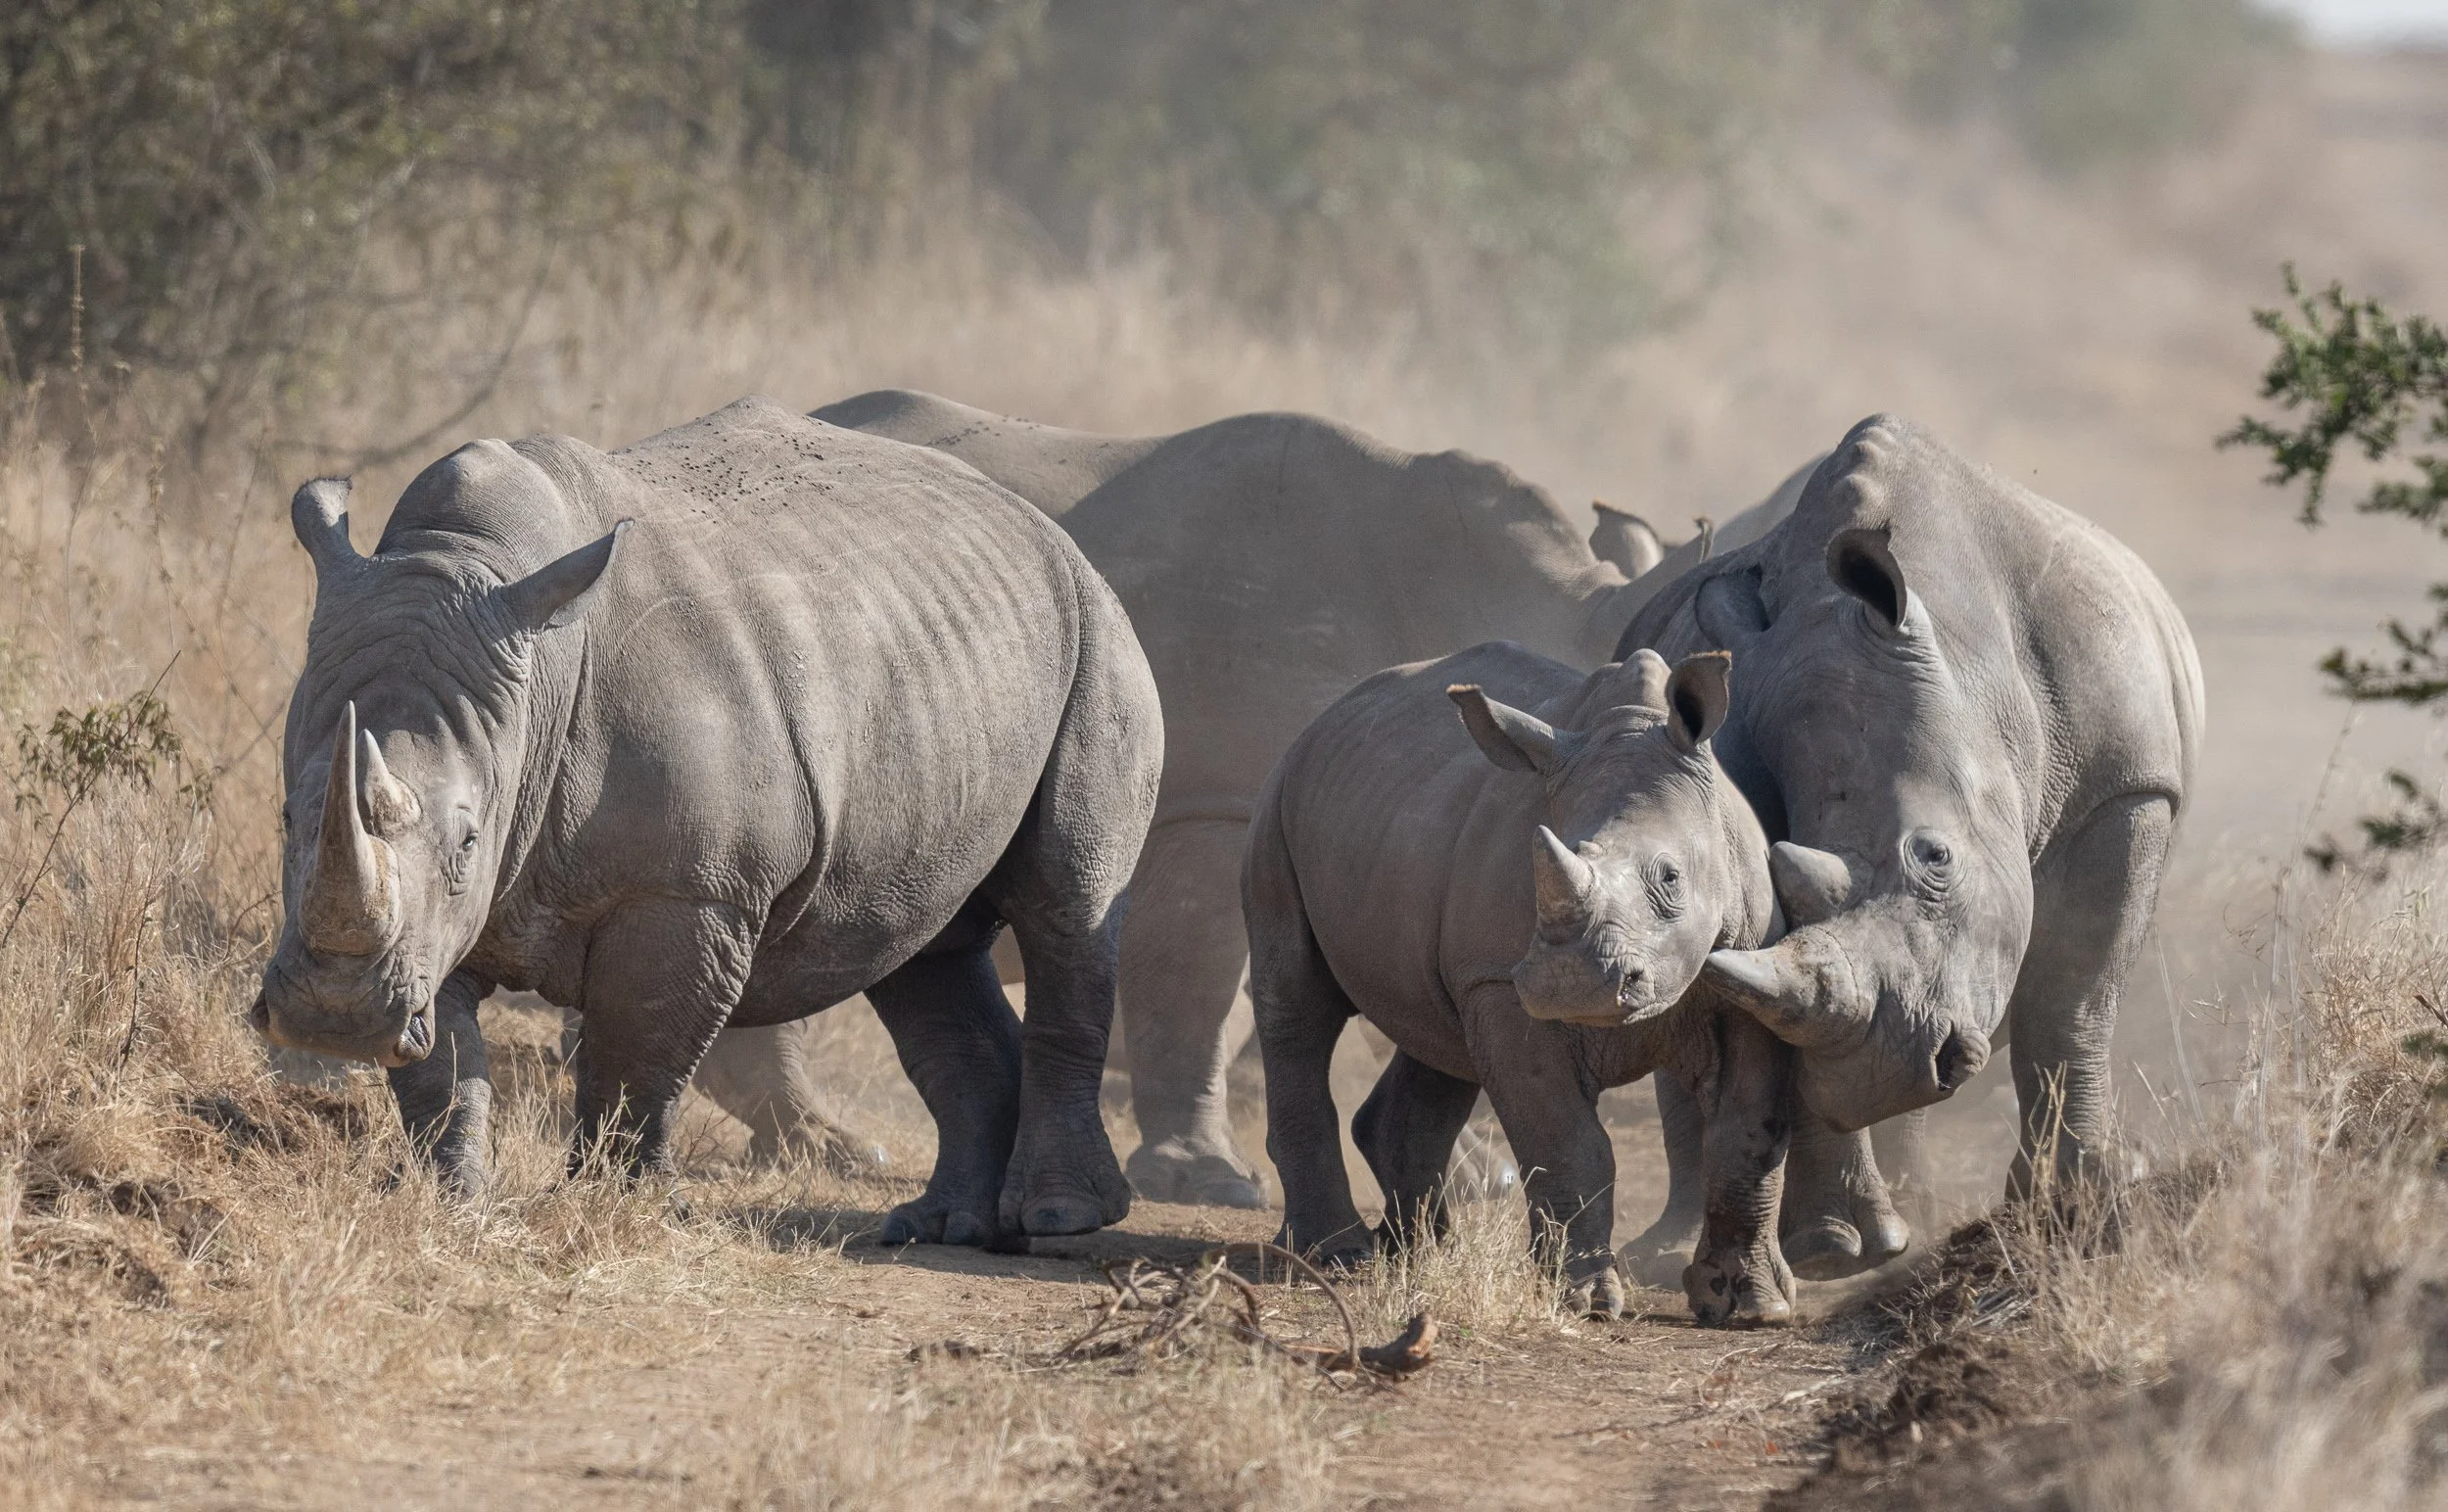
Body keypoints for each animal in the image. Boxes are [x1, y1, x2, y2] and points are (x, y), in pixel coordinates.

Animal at [249, 397, 1161, 1245]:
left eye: (469, 839)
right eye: (289, 817)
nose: (334, 1018)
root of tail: (1044, 526)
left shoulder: (690, 889)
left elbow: (637, 1052)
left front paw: (624, 1209)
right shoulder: (436, 916)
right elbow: (440, 1063)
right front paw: (451, 1202)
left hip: (1099, 631)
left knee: (1066, 908)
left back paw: (1057, 1218)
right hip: (942, 658)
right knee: (919, 944)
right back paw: (946, 1227)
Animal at [1248, 642, 1793, 1323]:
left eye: (1670, 878)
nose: (1570, 985)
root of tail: (1321, 722)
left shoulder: (1755, 965)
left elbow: (1748, 1133)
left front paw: (1752, 1306)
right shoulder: (1504, 984)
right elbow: (1566, 1139)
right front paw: (1586, 1303)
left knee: (1439, 1044)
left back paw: (1420, 1257)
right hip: (1280, 801)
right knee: (1299, 1007)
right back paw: (1336, 1256)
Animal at [1616, 415, 2202, 1276]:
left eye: (1937, 858)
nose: (1900, 1068)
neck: (1971, 671)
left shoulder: (2128, 789)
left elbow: (2072, 1001)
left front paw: (2077, 1201)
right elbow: (1778, 1010)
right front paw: (1835, 1250)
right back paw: (1679, 1246)